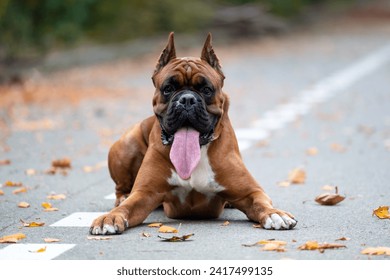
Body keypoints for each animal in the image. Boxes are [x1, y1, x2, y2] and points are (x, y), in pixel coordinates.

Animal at [89, 32, 296, 234]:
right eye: (168, 89)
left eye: (206, 89)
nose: (187, 99)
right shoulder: (145, 194)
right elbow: (128, 207)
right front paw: (110, 217)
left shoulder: (250, 192)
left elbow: (261, 202)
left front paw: (275, 214)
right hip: (127, 144)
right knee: (121, 188)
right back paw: (122, 197)